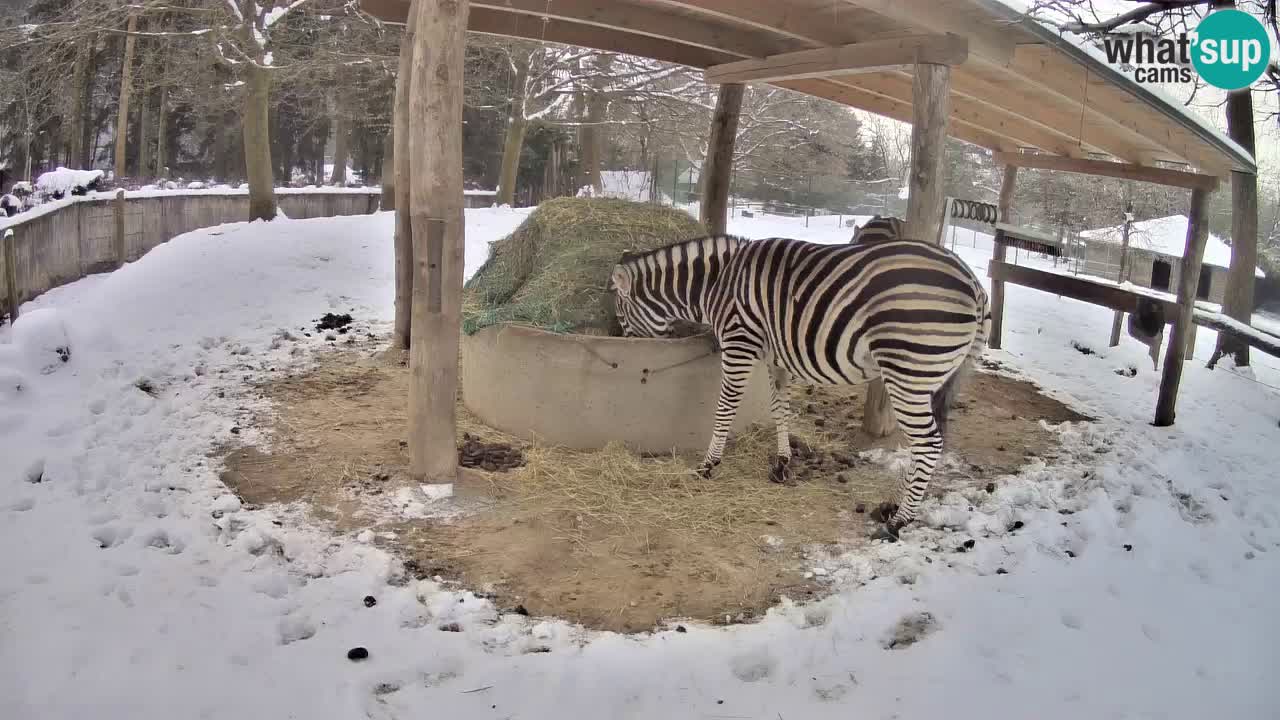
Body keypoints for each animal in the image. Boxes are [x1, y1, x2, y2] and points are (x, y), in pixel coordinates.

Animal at [611, 234, 990, 541]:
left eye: (620, 312)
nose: (622, 343)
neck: (718, 282)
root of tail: (974, 283)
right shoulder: (776, 357)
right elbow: (780, 409)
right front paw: (781, 463)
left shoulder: (739, 343)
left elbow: (726, 407)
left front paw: (708, 464)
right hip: (938, 378)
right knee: (929, 444)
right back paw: (892, 507)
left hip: (907, 371)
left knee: (928, 444)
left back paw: (898, 522)